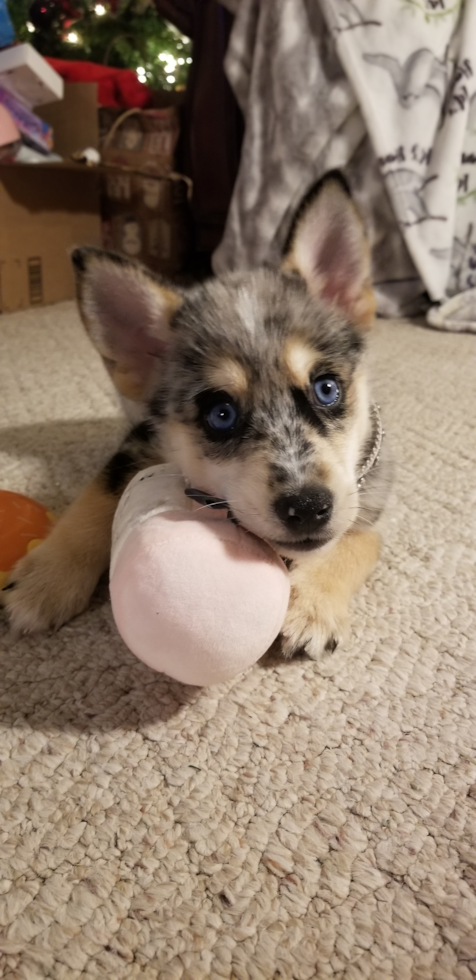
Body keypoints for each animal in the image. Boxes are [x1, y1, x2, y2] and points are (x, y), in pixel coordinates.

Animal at [2, 176, 390, 660]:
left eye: (327, 389)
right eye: (220, 415)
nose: (307, 507)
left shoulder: (367, 492)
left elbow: (363, 539)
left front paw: (313, 604)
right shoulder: (141, 441)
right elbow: (95, 498)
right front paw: (45, 579)